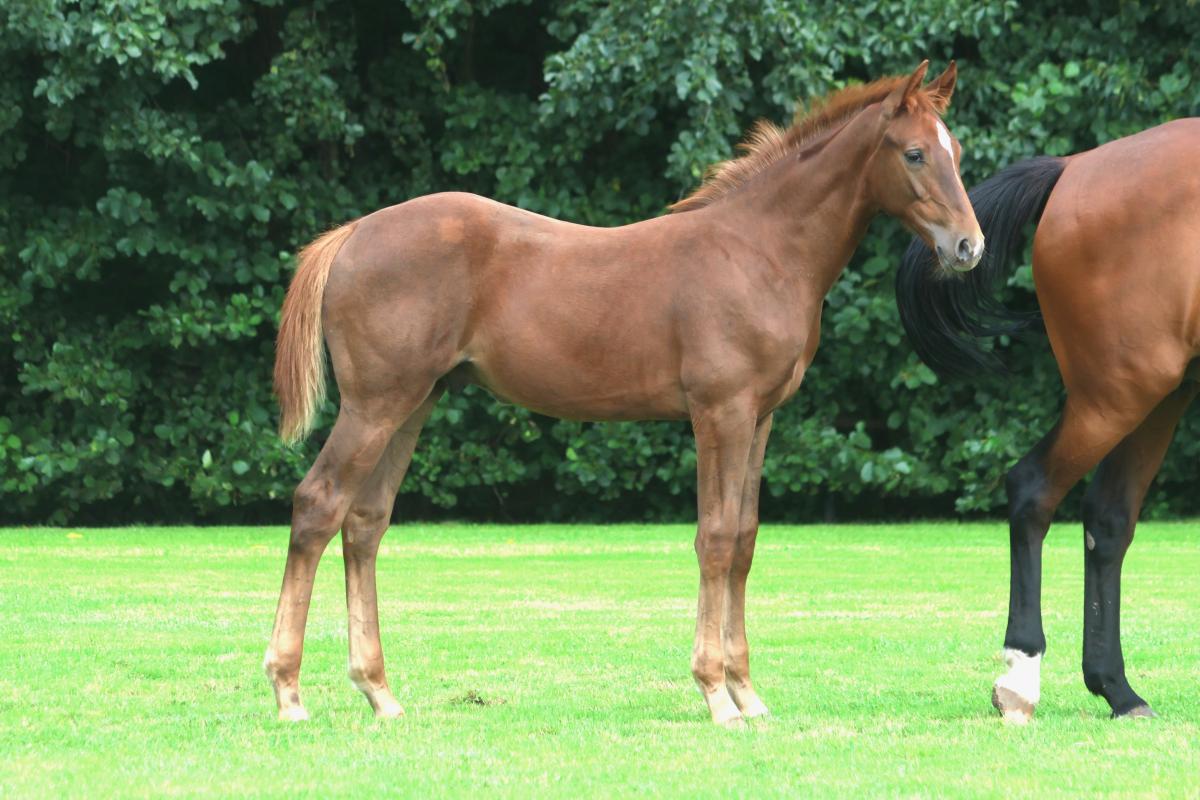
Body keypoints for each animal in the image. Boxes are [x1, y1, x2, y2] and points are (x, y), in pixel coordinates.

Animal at [264, 61, 983, 727]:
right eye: (914, 153)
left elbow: (745, 540)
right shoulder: (719, 412)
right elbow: (715, 538)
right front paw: (715, 693)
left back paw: (379, 693)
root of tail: (352, 234)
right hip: (375, 405)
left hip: (415, 403)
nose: (969, 247)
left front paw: (748, 693)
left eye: (956, 151)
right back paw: (289, 692)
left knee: (365, 524)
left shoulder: (761, 419)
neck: (760, 251)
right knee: (318, 505)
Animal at [897, 118, 1200, 723]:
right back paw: (1022, 676)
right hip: (1118, 393)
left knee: (1107, 519)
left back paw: (1118, 689)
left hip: (1158, 394)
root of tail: (1076, 166)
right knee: (1034, 489)